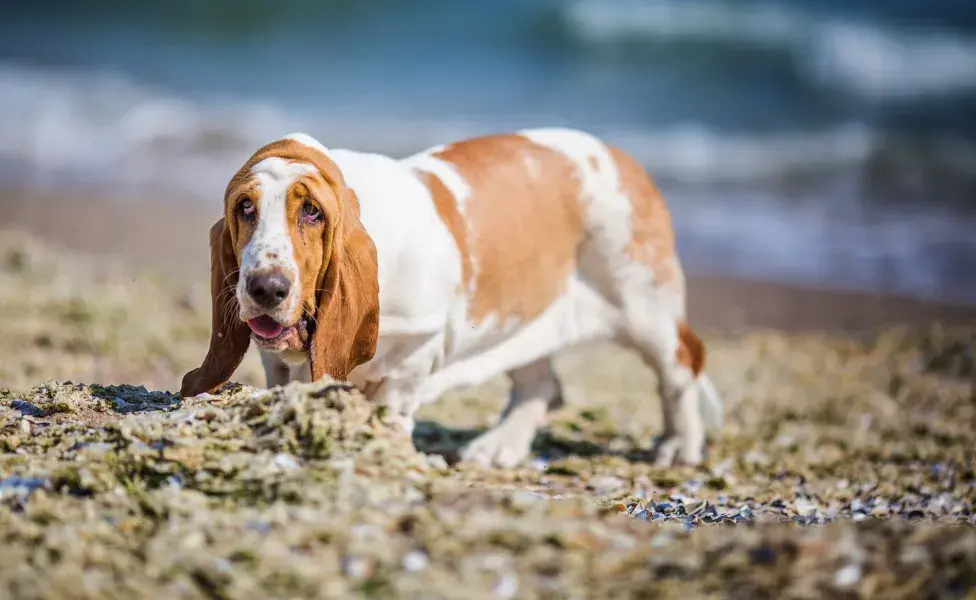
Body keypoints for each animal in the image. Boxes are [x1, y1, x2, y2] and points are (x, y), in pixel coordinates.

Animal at [179, 127, 720, 468]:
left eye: (312, 211)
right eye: (244, 207)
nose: (266, 288)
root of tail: (623, 159)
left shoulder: (418, 348)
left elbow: (394, 401)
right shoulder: (278, 361)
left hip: (643, 307)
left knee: (682, 365)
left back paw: (680, 446)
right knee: (541, 385)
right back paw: (500, 447)